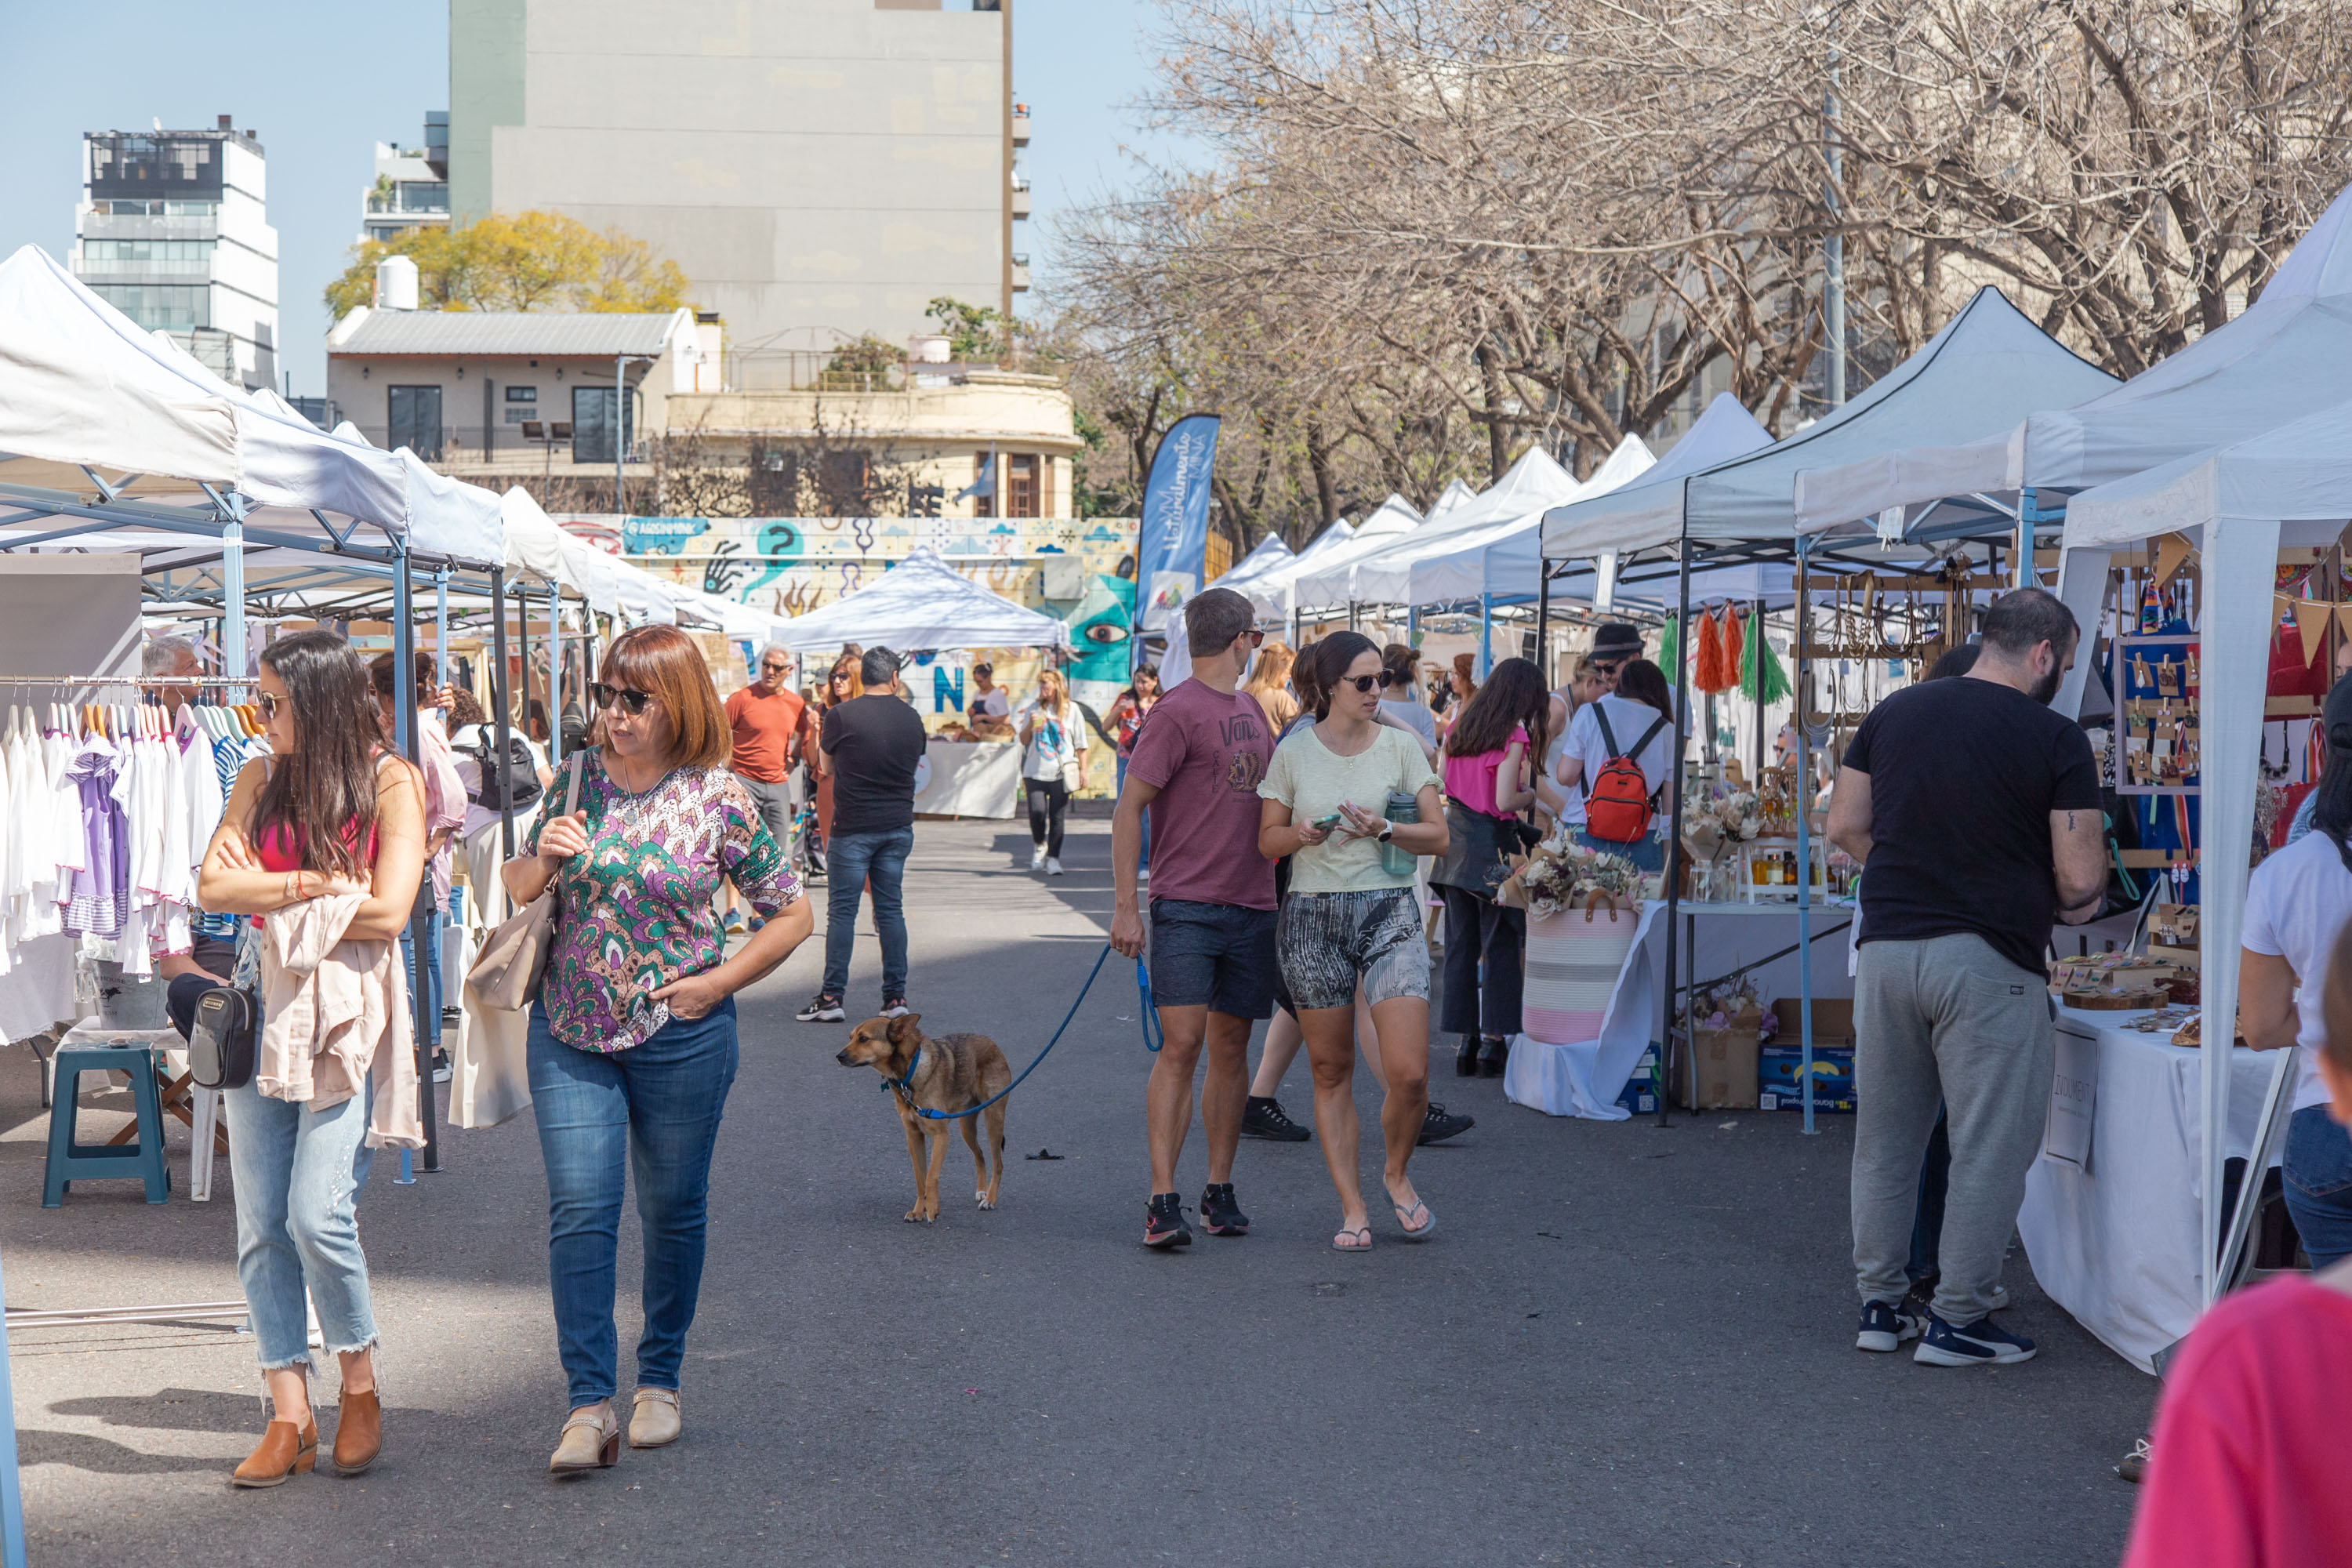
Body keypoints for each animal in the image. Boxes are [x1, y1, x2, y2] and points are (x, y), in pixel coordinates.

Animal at [837, 1020, 1011, 1222]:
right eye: (851, 1038)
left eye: (864, 1039)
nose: (838, 1057)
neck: (909, 1072)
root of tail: (992, 1043)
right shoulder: (914, 1137)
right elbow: (920, 1178)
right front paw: (919, 1211)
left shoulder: (941, 1136)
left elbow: (931, 1176)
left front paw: (933, 1208)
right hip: (966, 1126)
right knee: (980, 1156)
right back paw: (982, 1191)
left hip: (993, 1120)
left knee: (998, 1164)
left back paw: (990, 1199)